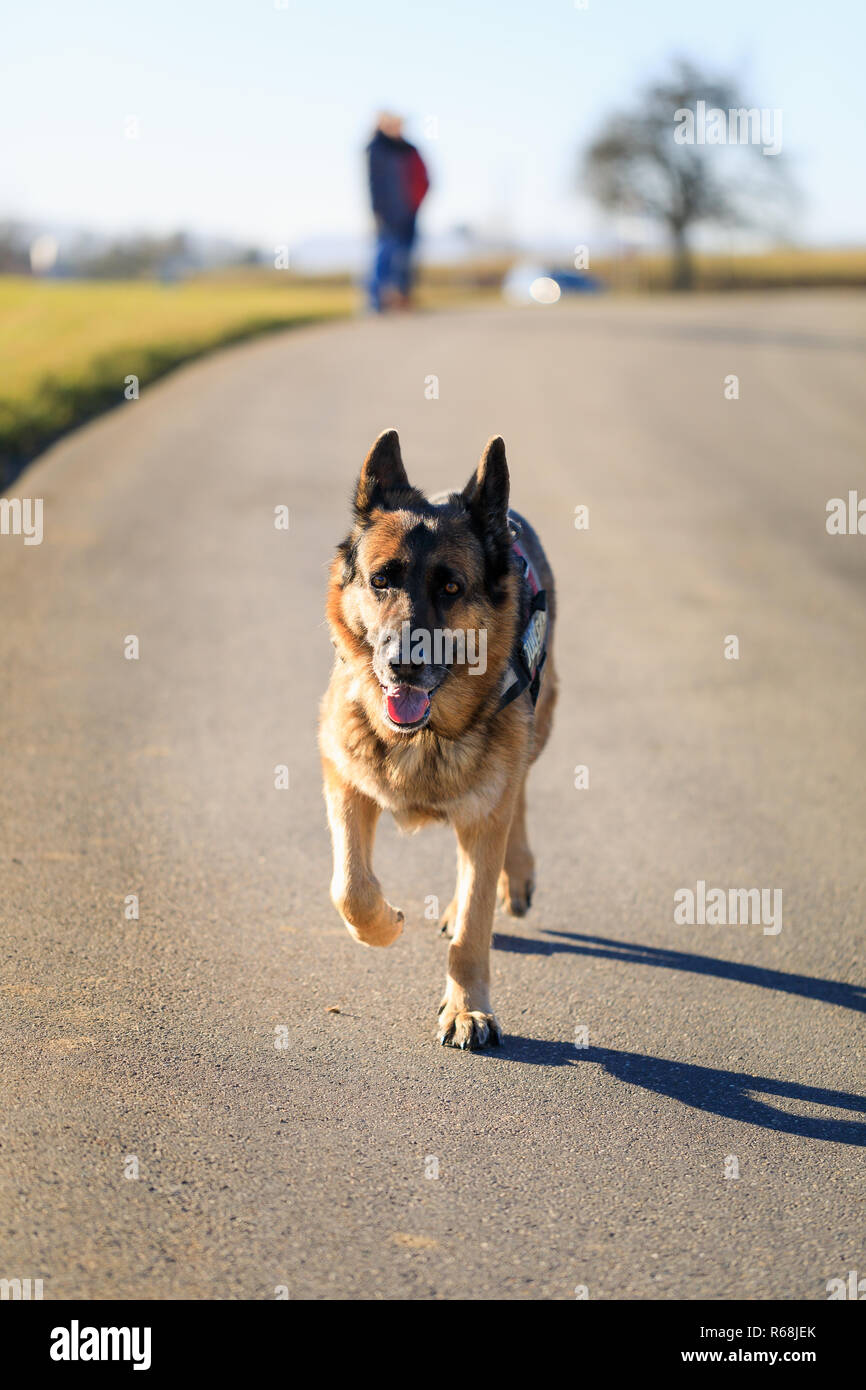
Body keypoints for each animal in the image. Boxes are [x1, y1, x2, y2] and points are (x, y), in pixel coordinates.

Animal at [318, 428, 556, 1045]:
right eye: (380, 580)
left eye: (450, 587)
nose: (403, 664)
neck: (424, 737)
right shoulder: (343, 778)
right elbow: (349, 888)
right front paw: (384, 924)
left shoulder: (486, 814)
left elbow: (474, 925)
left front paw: (467, 1008)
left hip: (536, 730)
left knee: (518, 793)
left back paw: (516, 875)